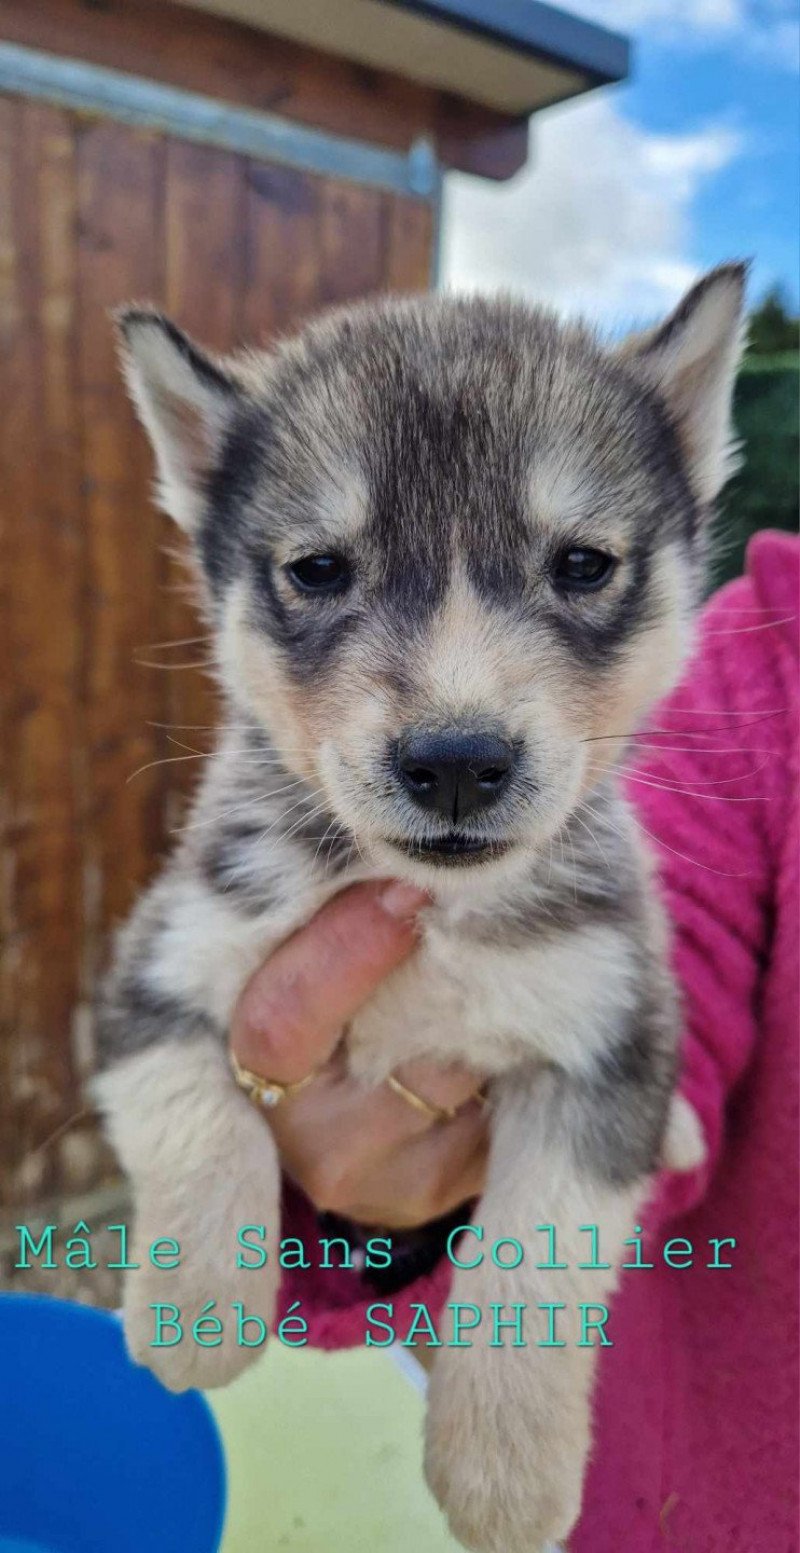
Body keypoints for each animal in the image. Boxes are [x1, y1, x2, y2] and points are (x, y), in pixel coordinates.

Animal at [97, 270, 748, 1553]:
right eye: (317, 569)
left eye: (581, 564)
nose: (454, 760)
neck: (441, 916)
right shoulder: (155, 970)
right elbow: (205, 1119)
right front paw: (198, 1304)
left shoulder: (604, 1036)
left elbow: (533, 1246)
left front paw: (503, 1464)